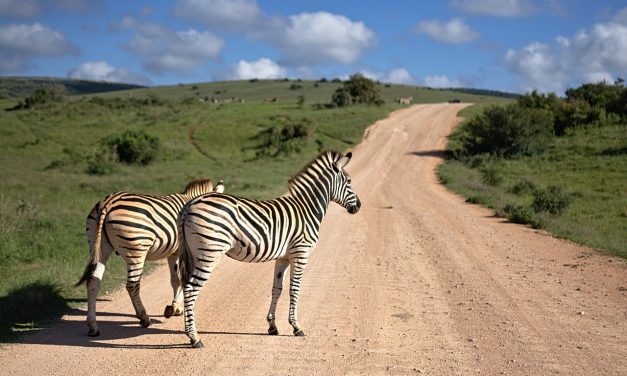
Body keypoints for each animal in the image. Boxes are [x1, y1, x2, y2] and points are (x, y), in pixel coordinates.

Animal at [76, 178, 224, 336]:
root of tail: (108, 202)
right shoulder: (182, 251)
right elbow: (182, 279)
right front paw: (175, 308)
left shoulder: (173, 252)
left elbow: (175, 280)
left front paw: (175, 308)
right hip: (136, 251)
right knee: (132, 285)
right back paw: (144, 318)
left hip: (98, 246)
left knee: (93, 282)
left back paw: (93, 326)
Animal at [179, 151, 360, 348]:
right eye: (349, 181)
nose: (358, 206)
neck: (307, 209)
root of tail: (190, 204)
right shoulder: (301, 253)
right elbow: (294, 289)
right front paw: (296, 327)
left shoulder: (283, 257)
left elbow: (277, 289)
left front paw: (272, 326)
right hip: (209, 252)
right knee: (191, 289)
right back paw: (195, 337)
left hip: (192, 253)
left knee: (185, 285)